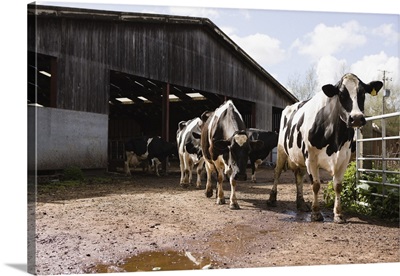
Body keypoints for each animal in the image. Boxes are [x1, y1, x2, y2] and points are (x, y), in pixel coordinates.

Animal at [268, 74, 382, 224]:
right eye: (341, 93)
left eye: (362, 93)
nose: (356, 118)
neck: (335, 141)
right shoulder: (311, 158)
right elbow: (316, 185)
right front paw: (316, 213)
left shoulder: (344, 159)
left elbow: (338, 186)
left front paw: (338, 214)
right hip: (282, 150)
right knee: (277, 172)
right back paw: (272, 199)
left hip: (299, 157)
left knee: (299, 176)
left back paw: (301, 203)